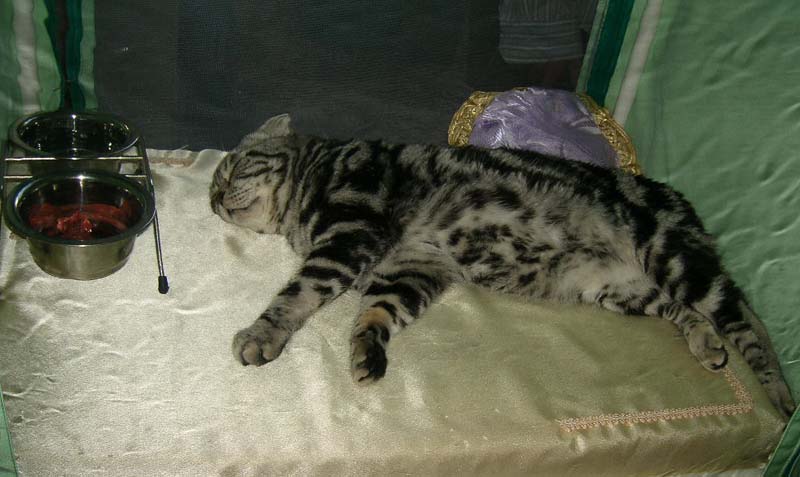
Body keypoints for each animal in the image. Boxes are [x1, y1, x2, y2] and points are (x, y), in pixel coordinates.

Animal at [210, 114, 795, 420]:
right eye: (215, 187)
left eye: (232, 168)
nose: (214, 200)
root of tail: (685, 205)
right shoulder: (411, 266)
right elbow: (377, 314)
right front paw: (367, 352)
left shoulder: (350, 233)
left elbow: (297, 294)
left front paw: (261, 335)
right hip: (620, 288)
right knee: (685, 310)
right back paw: (706, 344)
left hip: (673, 255)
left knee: (747, 320)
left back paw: (781, 398)